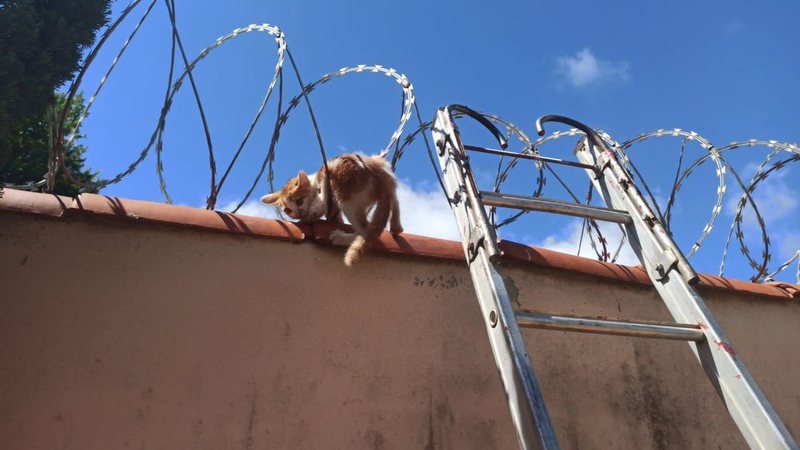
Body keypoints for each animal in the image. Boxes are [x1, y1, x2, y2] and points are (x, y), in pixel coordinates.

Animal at [260, 154, 404, 266]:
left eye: (299, 201)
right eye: (287, 210)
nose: (295, 214)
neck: (314, 183)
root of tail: (380, 181)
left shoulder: (321, 201)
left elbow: (314, 211)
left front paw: (303, 219)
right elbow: (335, 218)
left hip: (346, 197)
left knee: (364, 230)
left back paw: (340, 237)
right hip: (384, 169)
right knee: (395, 199)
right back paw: (396, 227)